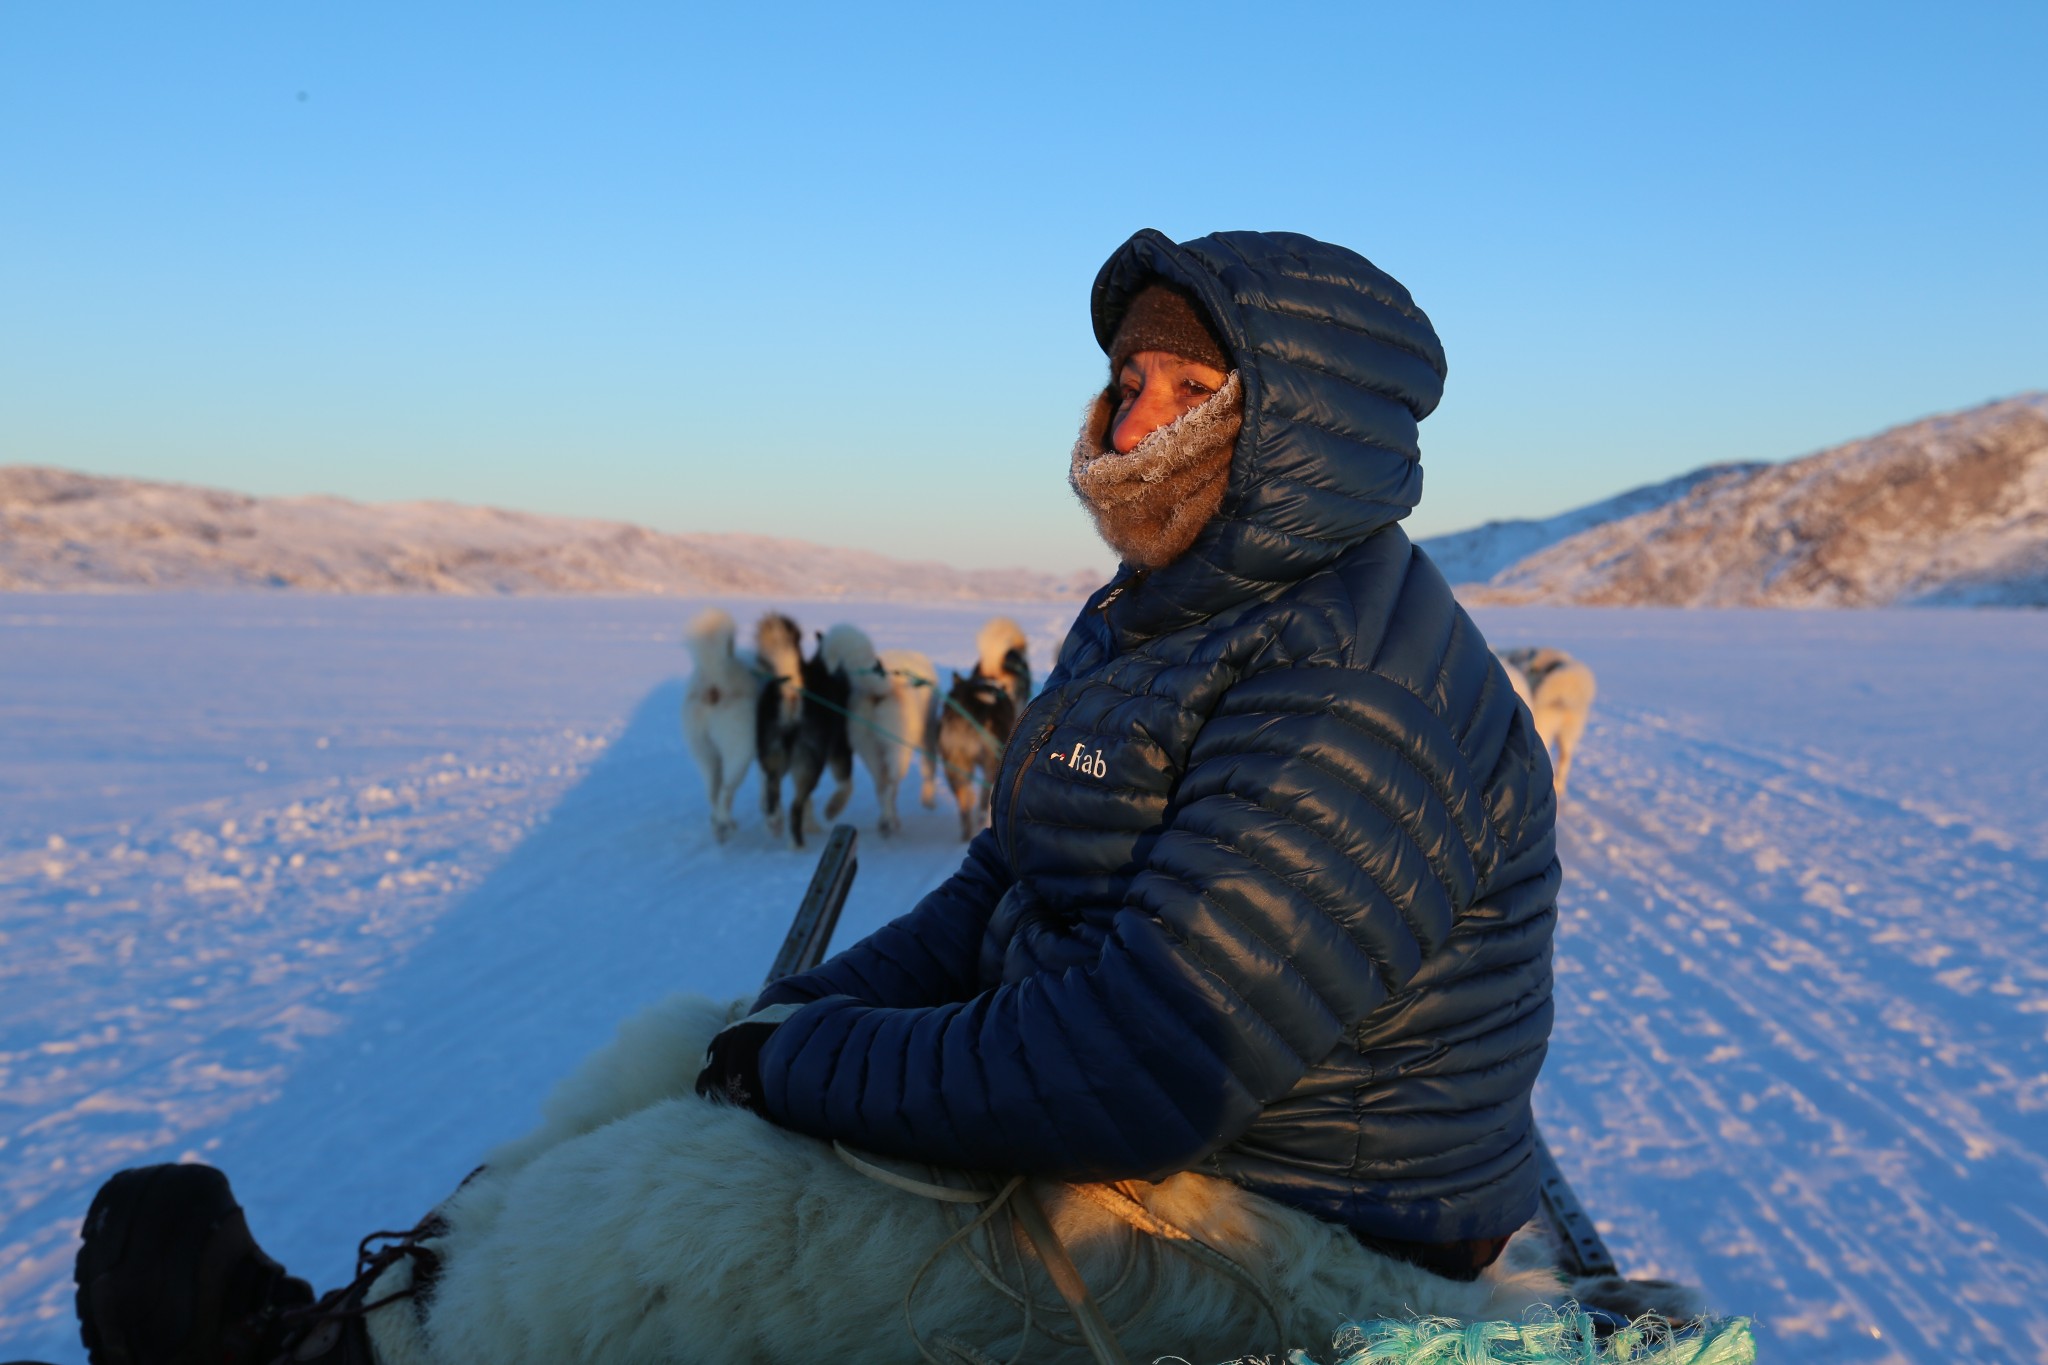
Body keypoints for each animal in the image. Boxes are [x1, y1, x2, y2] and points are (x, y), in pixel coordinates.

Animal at [679, 609, 761, 843]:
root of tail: (715, 680)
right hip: (739, 756)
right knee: (725, 793)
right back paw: (726, 824)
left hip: (706, 756)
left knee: (713, 795)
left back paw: (719, 826)